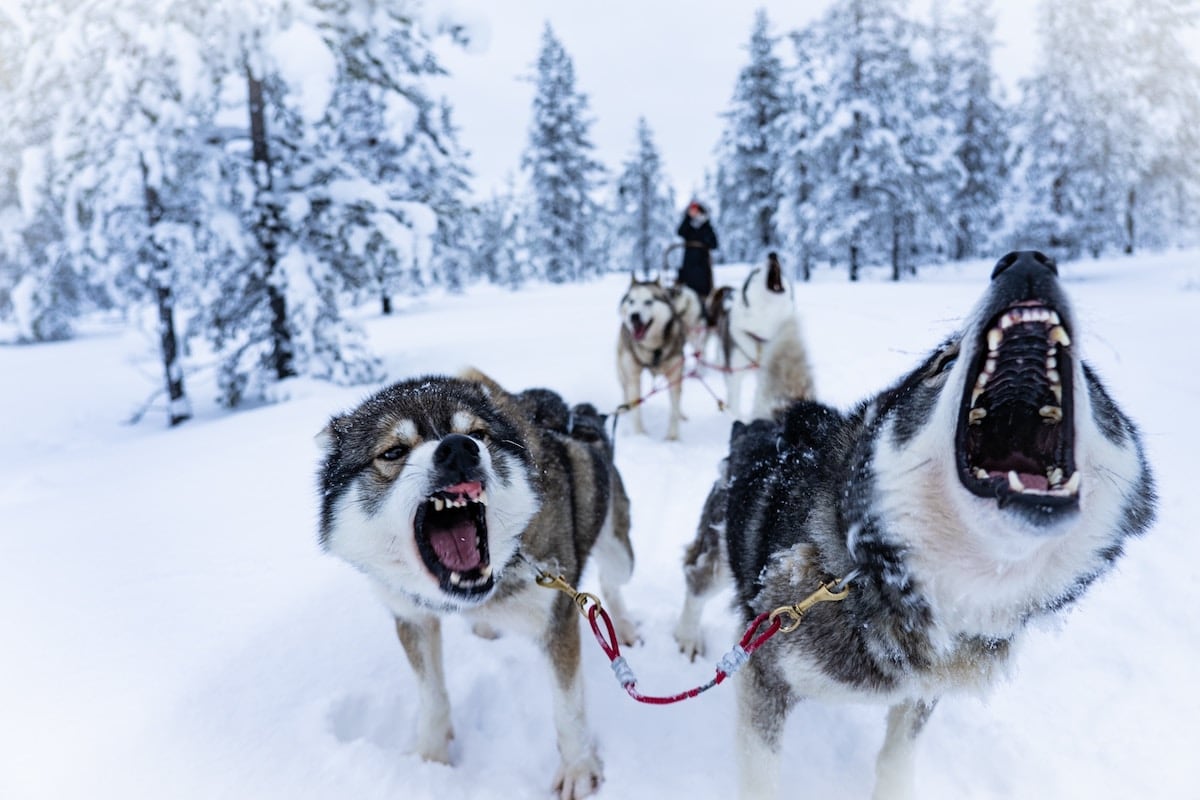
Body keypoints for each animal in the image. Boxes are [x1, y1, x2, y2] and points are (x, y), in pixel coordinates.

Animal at [319, 371, 638, 796]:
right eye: (393, 451)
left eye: (477, 434)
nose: (457, 448)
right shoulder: (412, 618)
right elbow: (432, 697)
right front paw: (430, 758)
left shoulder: (557, 621)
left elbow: (568, 709)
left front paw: (578, 769)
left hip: (619, 554)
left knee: (612, 584)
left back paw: (623, 627)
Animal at [619, 278, 700, 441]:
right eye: (631, 301)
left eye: (648, 301)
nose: (634, 316)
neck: (652, 348)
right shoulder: (633, 376)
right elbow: (636, 408)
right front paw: (640, 435)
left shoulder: (674, 374)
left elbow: (674, 407)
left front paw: (672, 437)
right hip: (622, 370)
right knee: (624, 389)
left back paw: (681, 415)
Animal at [710, 253, 816, 419]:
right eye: (756, 271)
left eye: (783, 273)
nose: (772, 254)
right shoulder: (735, 373)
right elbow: (735, 399)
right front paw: (735, 418)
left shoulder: (766, 373)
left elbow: (760, 398)